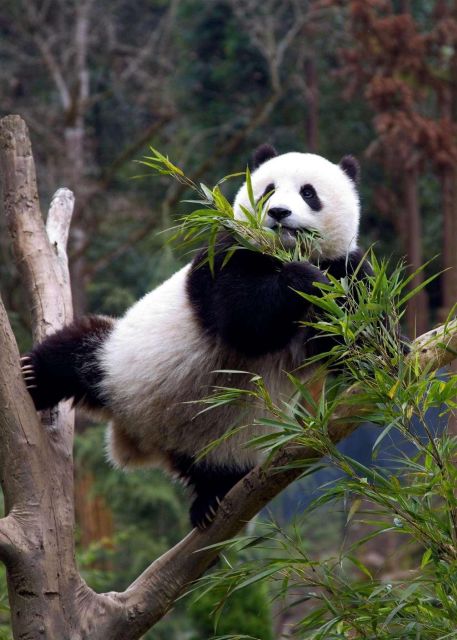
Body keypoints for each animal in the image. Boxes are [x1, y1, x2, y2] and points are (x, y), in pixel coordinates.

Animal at [20, 146, 370, 528]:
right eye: (268, 190)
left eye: (309, 193)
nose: (279, 212)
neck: (285, 251)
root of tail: (135, 436)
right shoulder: (226, 253)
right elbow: (243, 318)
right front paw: (303, 279)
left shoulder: (345, 271)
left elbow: (351, 338)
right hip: (116, 361)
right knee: (71, 355)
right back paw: (30, 377)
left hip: (222, 441)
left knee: (215, 469)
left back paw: (209, 502)